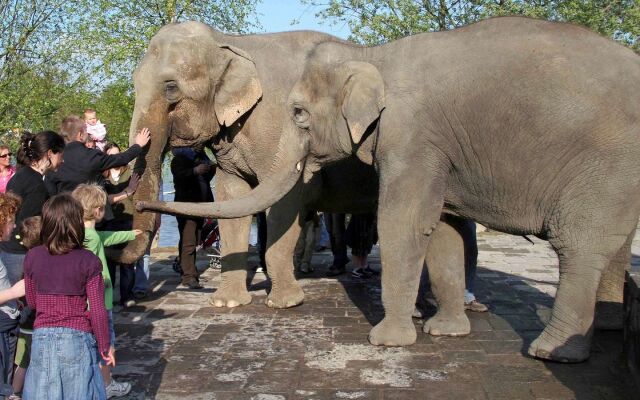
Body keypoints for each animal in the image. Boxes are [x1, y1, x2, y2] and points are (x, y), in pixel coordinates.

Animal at [139, 18, 640, 362]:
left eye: (171, 88)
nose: (139, 200)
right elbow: (232, 199)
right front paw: (229, 302)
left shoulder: (401, 136)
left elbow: (290, 203)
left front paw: (286, 304)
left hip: (605, 163)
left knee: (578, 244)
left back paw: (546, 348)